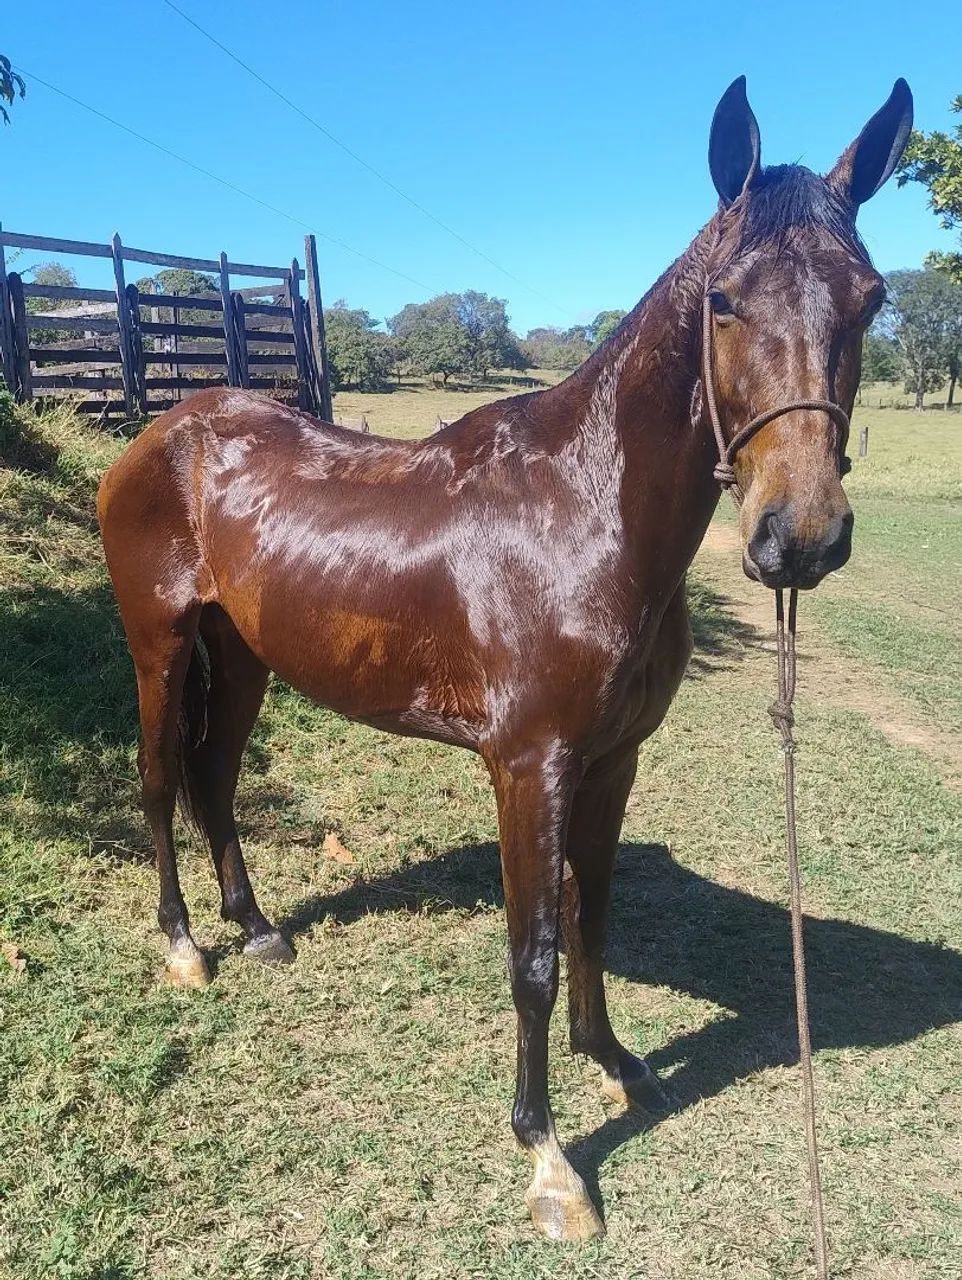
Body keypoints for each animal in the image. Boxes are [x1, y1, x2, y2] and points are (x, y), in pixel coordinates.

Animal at [97, 76, 912, 1241]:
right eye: (722, 300)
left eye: (870, 298)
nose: (799, 537)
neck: (580, 514)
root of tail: (163, 431)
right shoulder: (529, 765)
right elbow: (531, 953)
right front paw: (549, 1155)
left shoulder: (611, 760)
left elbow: (591, 917)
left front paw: (616, 1061)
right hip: (159, 643)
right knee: (162, 778)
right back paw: (182, 945)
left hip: (242, 653)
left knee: (213, 779)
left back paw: (254, 927)